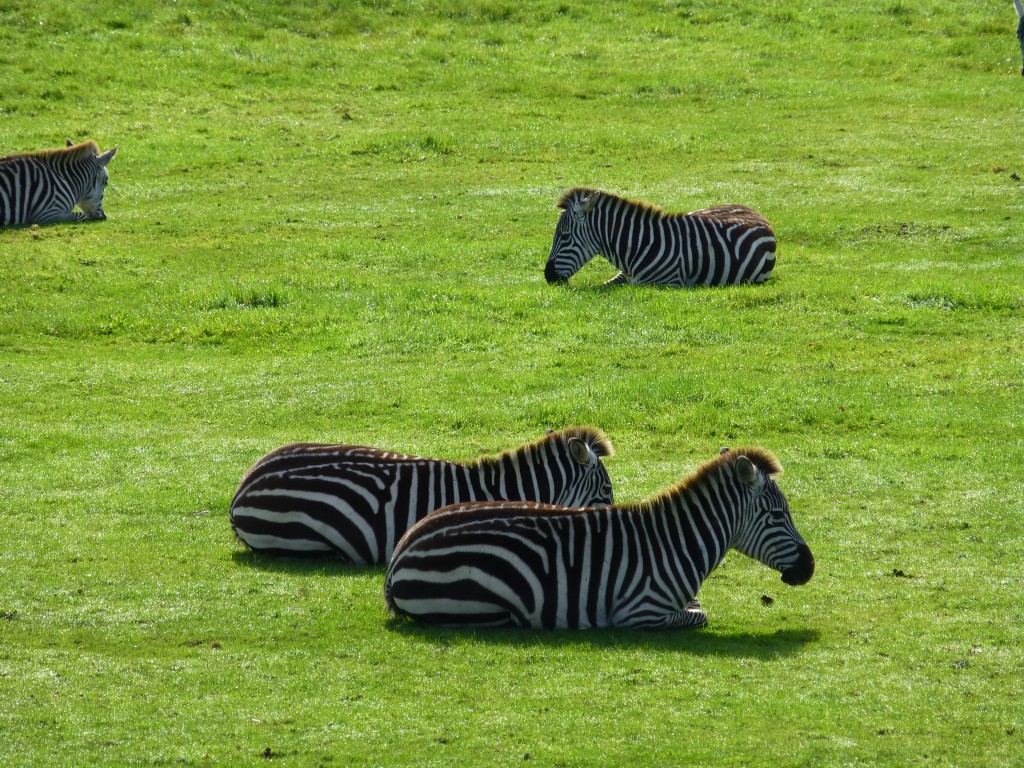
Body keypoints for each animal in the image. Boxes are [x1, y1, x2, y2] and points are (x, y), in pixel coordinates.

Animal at [385, 444, 815, 630]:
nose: (809, 567)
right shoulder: (640, 610)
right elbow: (697, 616)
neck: (676, 540)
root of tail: (402, 550)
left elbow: (696, 604)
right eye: (779, 515)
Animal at [544, 188, 774, 288]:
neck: (640, 243)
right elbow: (603, 285)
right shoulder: (625, 276)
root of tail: (754, 211)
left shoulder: (664, 284)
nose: (548, 276)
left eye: (565, 236)